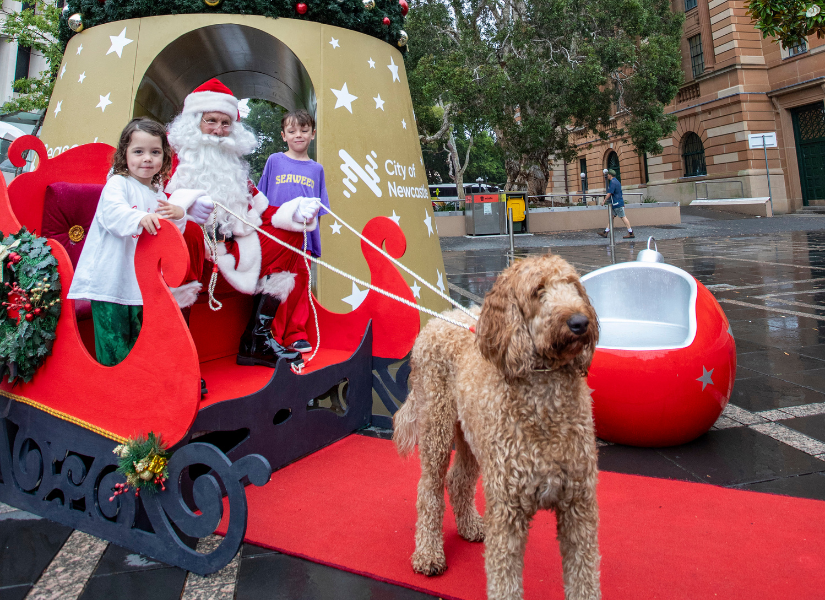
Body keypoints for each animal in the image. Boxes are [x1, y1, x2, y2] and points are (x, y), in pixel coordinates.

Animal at [392, 254, 600, 600]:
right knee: (429, 489)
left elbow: (584, 580)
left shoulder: (578, 507)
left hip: (472, 437)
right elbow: (505, 582)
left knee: (458, 480)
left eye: (573, 285)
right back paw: (428, 554)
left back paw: (471, 527)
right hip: (436, 426)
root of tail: (440, 319)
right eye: (538, 291)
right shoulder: (507, 511)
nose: (580, 323)